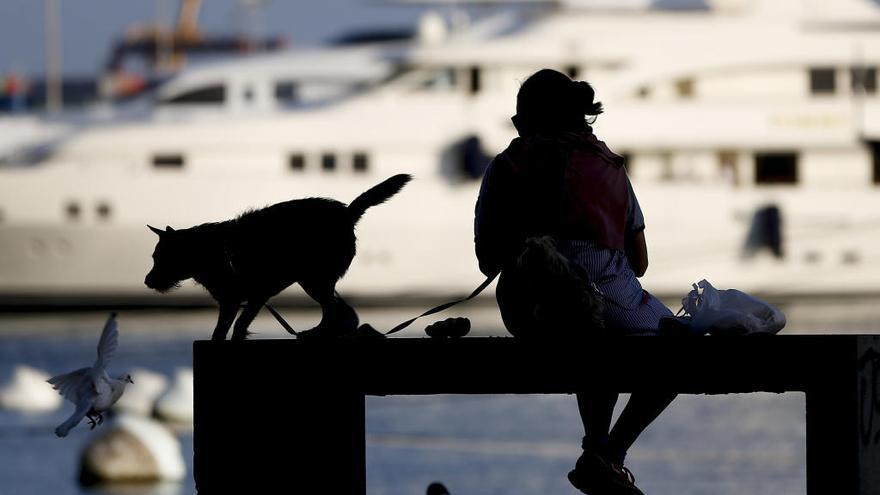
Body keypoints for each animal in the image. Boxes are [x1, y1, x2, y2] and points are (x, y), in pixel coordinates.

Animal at [146, 174, 414, 340]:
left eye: (161, 258)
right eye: (154, 257)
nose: (147, 281)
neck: (212, 253)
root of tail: (347, 213)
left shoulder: (256, 296)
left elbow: (239, 325)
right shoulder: (230, 301)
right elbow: (220, 330)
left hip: (314, 279)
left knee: (332, 309)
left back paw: (318, 332)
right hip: (315, 280)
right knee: (341, 311)